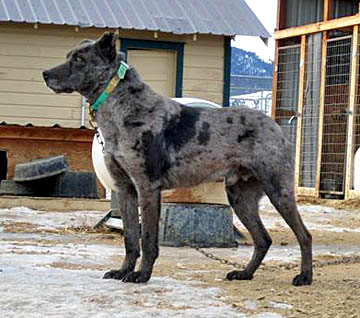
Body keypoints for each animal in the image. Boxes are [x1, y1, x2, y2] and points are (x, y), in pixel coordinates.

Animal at [43, 31, 312, 286]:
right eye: (69, 55)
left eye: (79, 59)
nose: (45, 73)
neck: (122, 108)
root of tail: (276, 127)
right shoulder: (125, 189)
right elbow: (130, 239)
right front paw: (123, 271)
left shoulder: (147, 188)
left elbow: (147, 240)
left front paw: (142, 275)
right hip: (240, 197)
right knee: (263, 239)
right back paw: (245, 273)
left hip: (278, 191)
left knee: (304, 235)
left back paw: (305, 276)